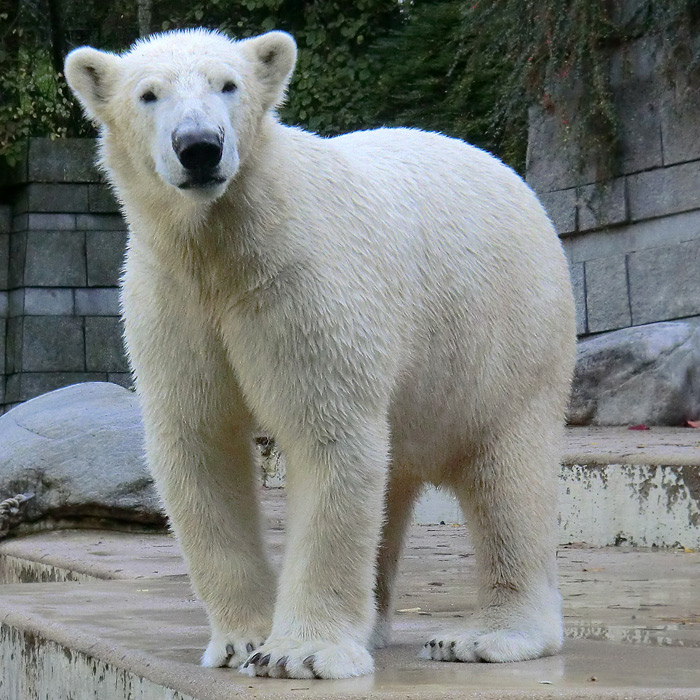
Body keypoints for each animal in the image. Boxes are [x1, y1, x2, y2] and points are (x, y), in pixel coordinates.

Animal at [64, 27, 576, 680]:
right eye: (148, 94)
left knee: (507, 475)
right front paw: (241, 641)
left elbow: (327, 433)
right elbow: (199, 443)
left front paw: (299, 652)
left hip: (507, 331)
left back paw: (485, 636)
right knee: (396, 477)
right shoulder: (175, 304)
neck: (226, 248)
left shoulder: (303, 284)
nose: (200, 147)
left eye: (229, 85)